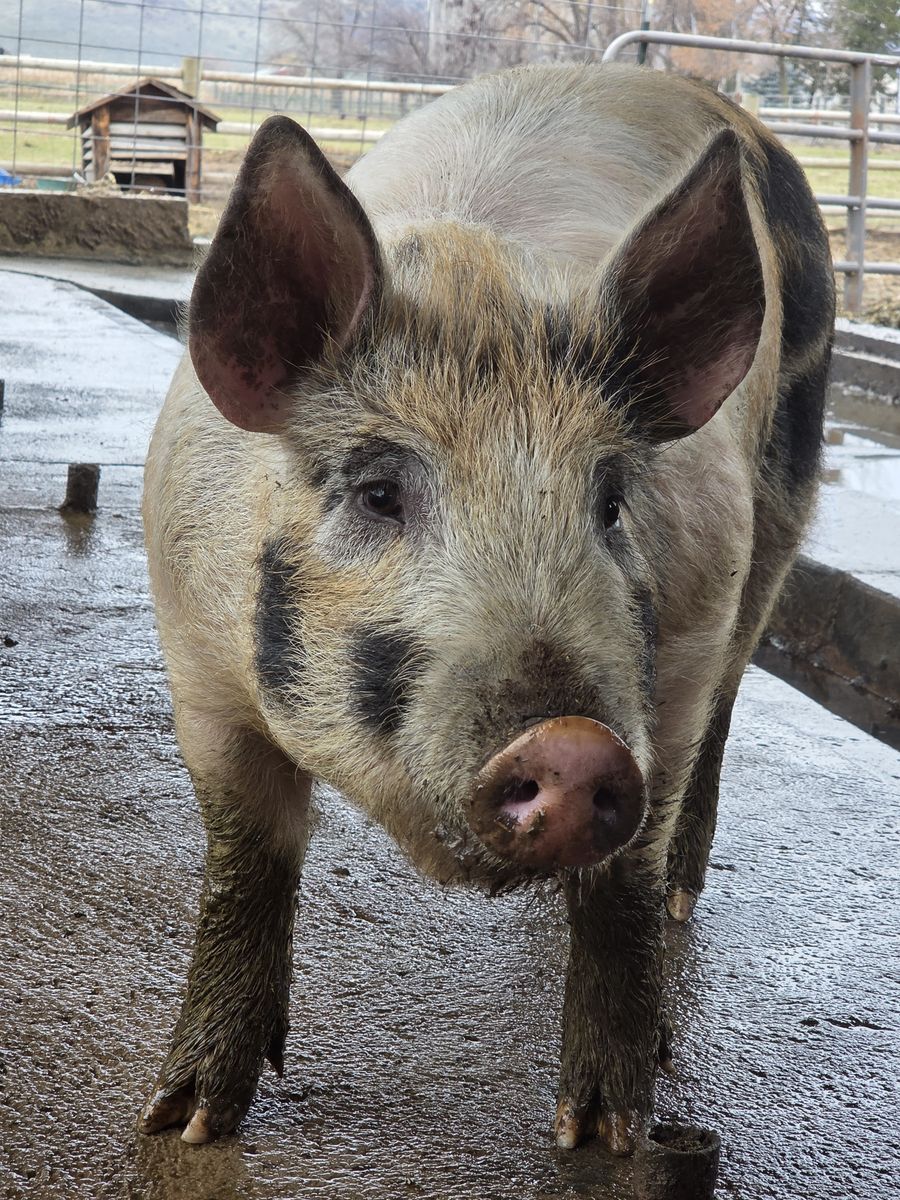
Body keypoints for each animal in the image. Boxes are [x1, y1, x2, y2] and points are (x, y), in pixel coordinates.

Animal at [139, 62, 834, 1153]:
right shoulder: (196, 660)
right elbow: (244, 859)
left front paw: (604, 1135)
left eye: (610, 500)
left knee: (726, 715)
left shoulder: (676, 664)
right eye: (379, 491)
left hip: (783, 502)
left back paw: (685, 901)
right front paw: (185, 1123)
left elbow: (625, 886)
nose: (574, 744)